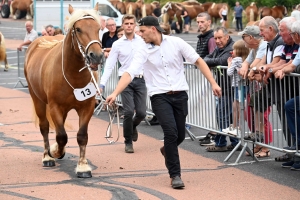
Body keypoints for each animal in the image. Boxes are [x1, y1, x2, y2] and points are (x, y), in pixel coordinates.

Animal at [24, 3, 103, 177]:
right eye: (78, 29)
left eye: (99, 28)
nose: (97, 56)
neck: (72, 74)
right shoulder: (55, 107)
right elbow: (61, 136)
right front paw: (54, 152)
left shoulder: (87, 107)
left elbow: (82, 136)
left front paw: (83, 166)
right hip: (38, 100)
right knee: (45, 127)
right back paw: (47, 156)